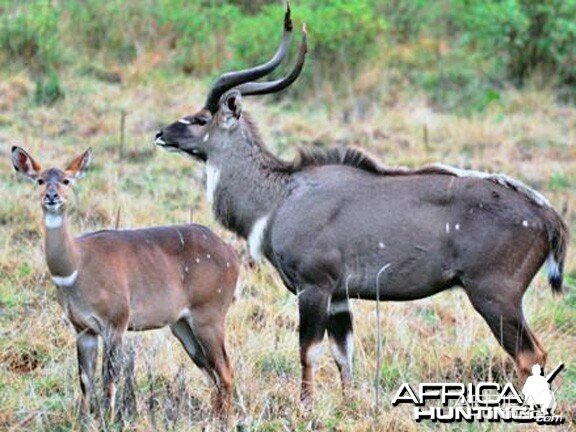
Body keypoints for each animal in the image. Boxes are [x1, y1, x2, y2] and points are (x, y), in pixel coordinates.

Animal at [153, 4, 568, 402]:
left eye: (201, 118)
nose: (160, 133)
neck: (281, 195)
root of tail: (548, 217)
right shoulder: (340, 296)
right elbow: (343, 355)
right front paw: (348, 403)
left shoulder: (315, 286)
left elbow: (308, 351)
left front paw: (306, 406)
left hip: (494, 295)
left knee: (530, 354)